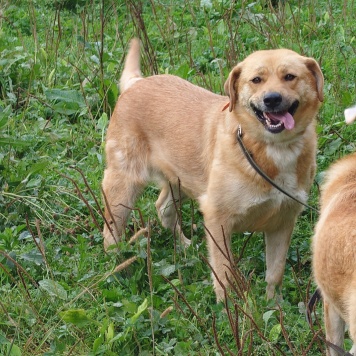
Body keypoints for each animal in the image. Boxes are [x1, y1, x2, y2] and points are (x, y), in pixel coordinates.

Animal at [101, 39, 324, 300]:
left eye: (289, 76)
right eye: (256, 80)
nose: (272, 99)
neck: (271, 149)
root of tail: (137, 83)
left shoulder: (283, 222)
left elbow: (275, 274)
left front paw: (274, 304)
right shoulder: (218, 220)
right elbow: (224, 273)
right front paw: (229, 307)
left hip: (181, 181)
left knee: (163, 208)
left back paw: (186, 247)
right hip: (123, 188)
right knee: (111, 231)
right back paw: (117, 267)